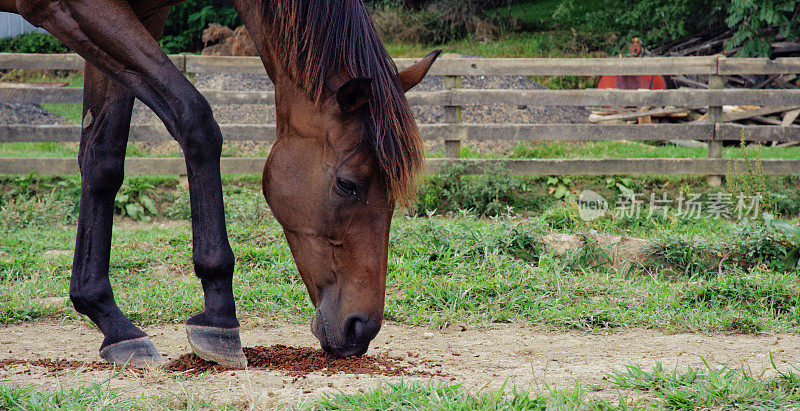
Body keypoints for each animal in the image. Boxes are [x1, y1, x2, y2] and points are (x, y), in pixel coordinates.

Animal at [0, 0, 440, 366]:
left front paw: (110, 320)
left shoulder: (139, 13)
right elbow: (195, 119)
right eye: (348, 185)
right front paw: (219, 317)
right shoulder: (71, 7)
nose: (361, 327)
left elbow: (102, 157)